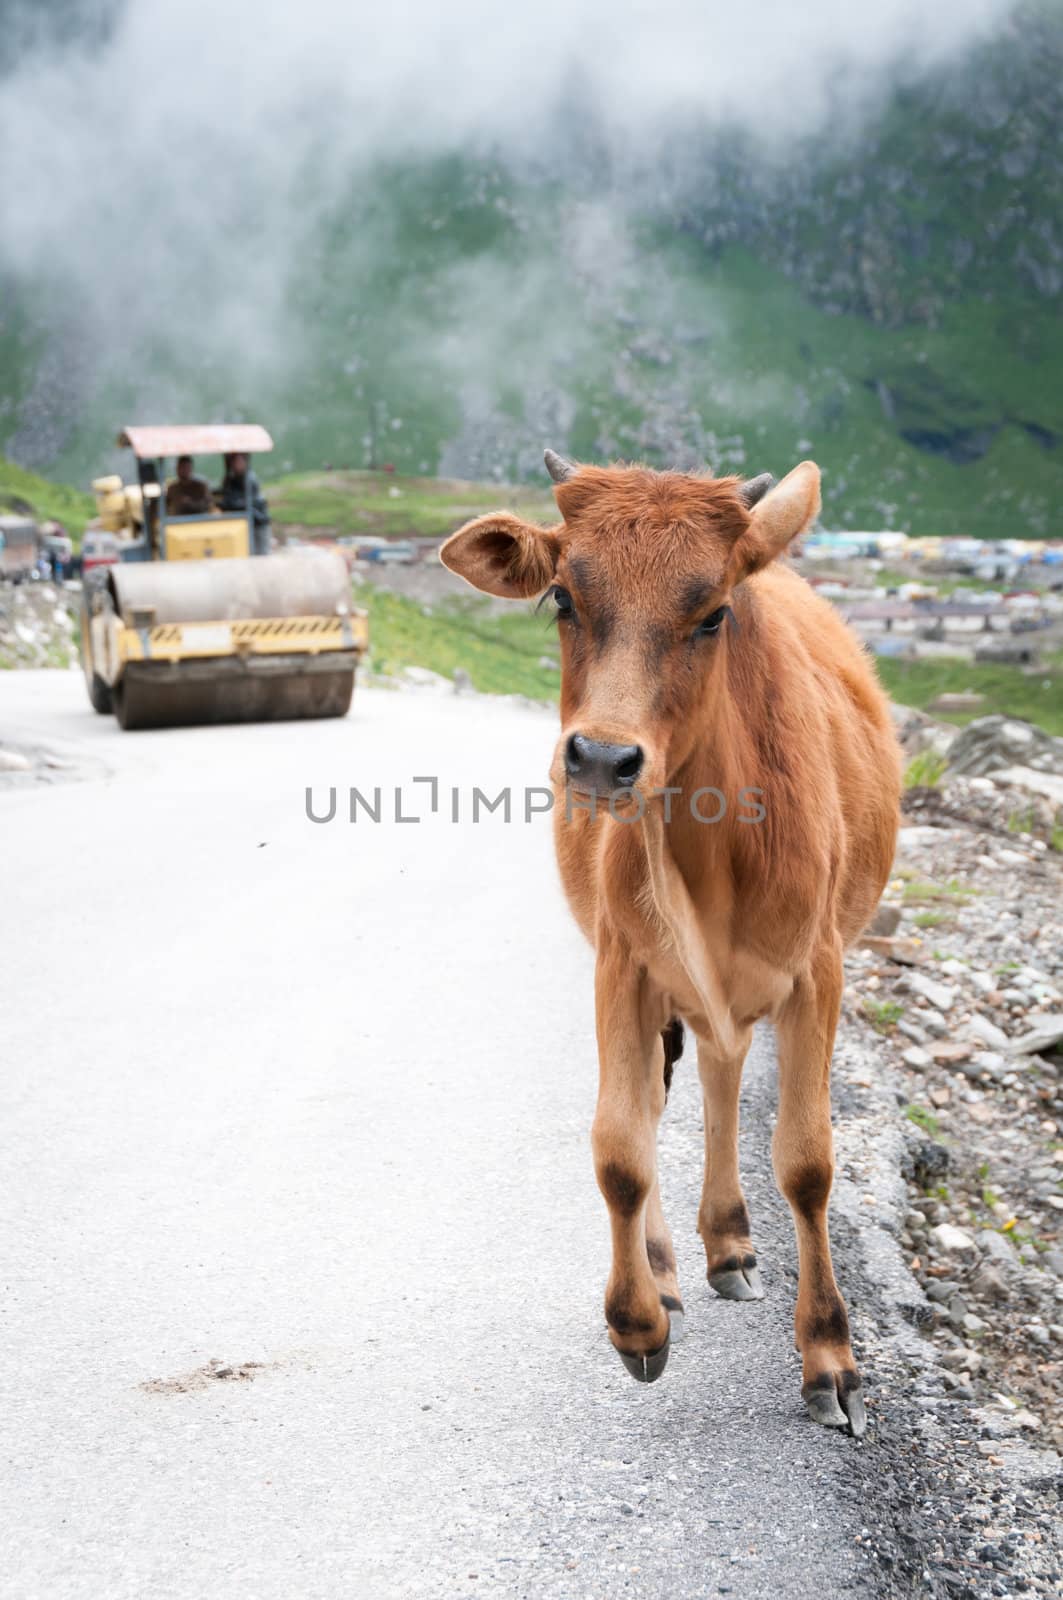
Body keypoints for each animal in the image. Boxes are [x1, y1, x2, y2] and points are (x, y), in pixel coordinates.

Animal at [438, 454, 896, 1440]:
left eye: (714, 611)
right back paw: (669, 1266)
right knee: (662, 1098)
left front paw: (830, 1356)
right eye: (563, 597)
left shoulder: (817, 971)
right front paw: (637, 1321)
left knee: (723, 1078)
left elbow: (806, 1161)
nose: (602, 760)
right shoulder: (622, 962)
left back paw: (728, 1242)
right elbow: (620, 1146)